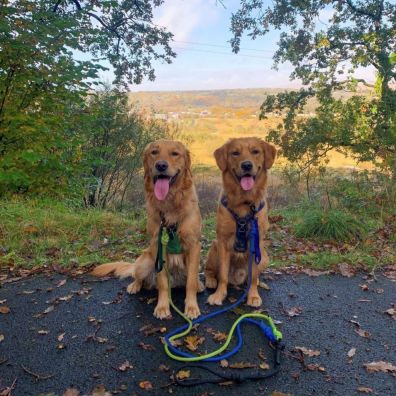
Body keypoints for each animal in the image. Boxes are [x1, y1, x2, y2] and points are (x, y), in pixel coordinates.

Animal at [91, 139, 203, 318]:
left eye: (175, 153)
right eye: (154, 152)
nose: (161, 165)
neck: (170, 204)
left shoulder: (194, 246)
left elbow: (191, 282)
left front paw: (191, 307)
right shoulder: (158, 246)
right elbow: (162, 281)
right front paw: (162, 307)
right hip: (146, 261)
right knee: (138, 277)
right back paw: (134, 286)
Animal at [204, 138, 276, 308]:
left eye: (256, 151)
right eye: (235, 153)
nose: (247, 165)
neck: (244, 202)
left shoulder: (256, 244)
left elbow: (254, 276)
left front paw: (253, 296)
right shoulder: (223, 241)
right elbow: (223, 275)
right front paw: (219, 295)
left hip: (265, 257)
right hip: (214, 248)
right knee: (210, 271)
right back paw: (210, 281)